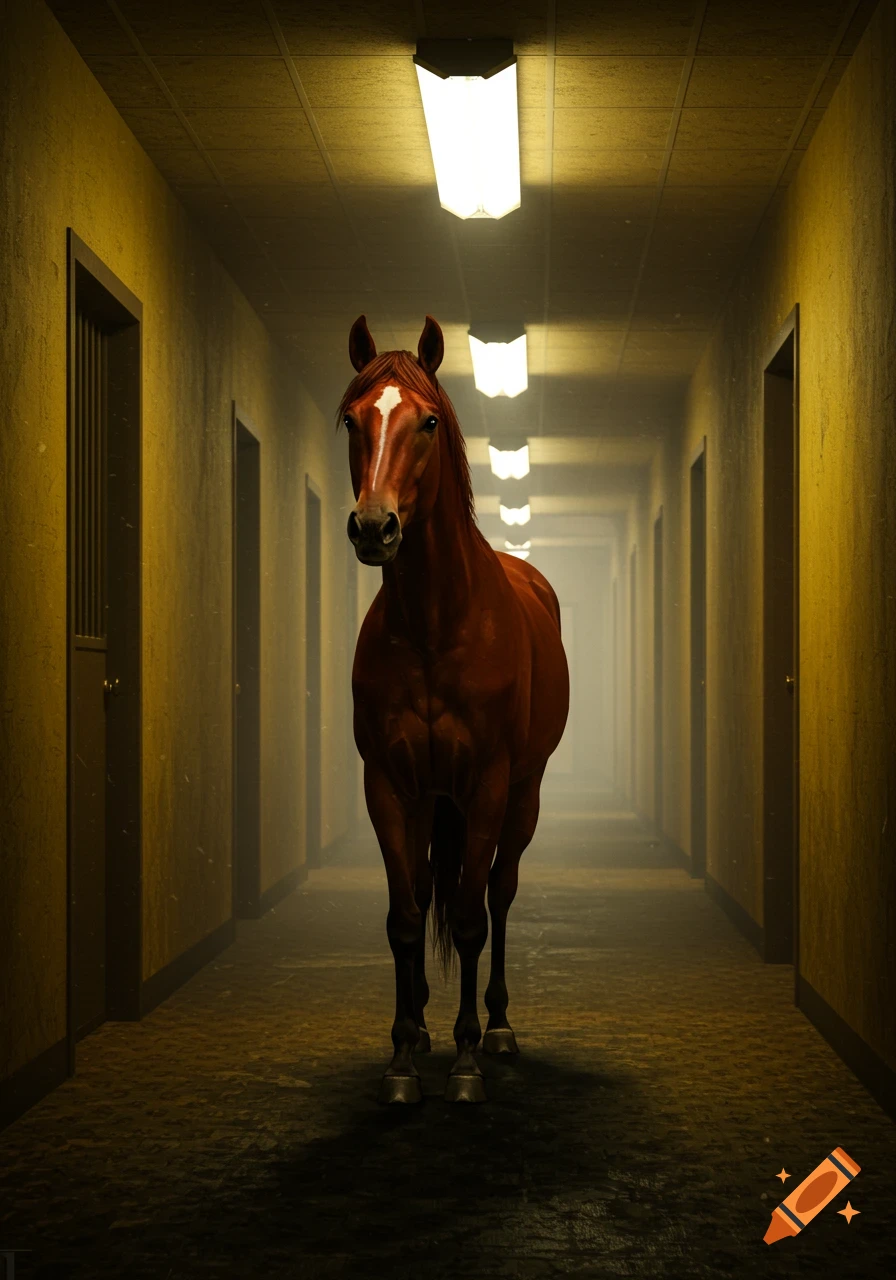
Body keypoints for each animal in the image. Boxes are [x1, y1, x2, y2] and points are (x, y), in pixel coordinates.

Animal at [339, 313, 569, 1104]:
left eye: (429, 421)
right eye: (350, 419)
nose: (373, 527)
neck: (436, 623)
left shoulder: (489, 783)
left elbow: (469, 916)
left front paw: (468, 1063)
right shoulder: (387, 783)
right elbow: (406, 918)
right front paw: (403, 1056)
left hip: (522, 792)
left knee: (498, 892)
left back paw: (495, 1027)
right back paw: (423, 1025)